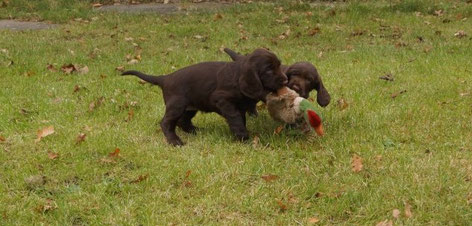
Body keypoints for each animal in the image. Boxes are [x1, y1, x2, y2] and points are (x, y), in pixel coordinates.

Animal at [121, 48, 288, 146]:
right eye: (269, 70)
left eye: (279, 65)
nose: (286, 80)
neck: (238, 76)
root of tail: (165, 78)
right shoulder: (222, 100)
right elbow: (235, 118)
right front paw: (242, 136)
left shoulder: (240, 106)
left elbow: (241, 118)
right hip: (177, 105)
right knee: (166, 123)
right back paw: (175, 141)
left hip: (190, 106)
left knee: (182, 121)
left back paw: (196, 131)